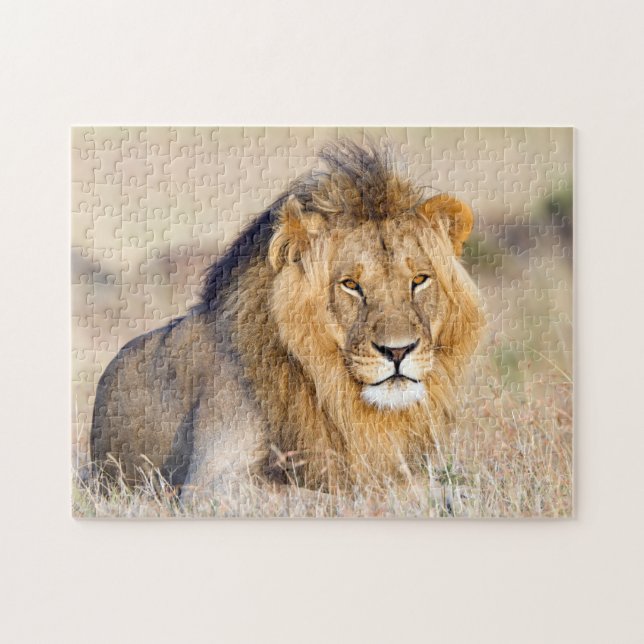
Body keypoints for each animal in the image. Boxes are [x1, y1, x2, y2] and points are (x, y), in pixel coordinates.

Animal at [90, 140, 484, 499]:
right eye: (350, 285)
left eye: (419, 280)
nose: (398, 351)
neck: (332, 390)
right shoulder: (213, 484)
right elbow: (346, 493)